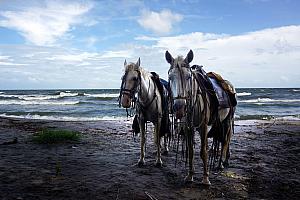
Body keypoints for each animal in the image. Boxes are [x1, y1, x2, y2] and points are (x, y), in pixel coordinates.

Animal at [165, 50, 236, 186]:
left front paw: (205, 178)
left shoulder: (203, 127)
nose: (179, 108)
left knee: (225, 140)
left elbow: (203, 151)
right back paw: (225, 161)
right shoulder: (188, 127)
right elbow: (191, 151)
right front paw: (190, 175)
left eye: (188, 77)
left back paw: (221, 163)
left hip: (227, 120)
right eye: (170, 77)